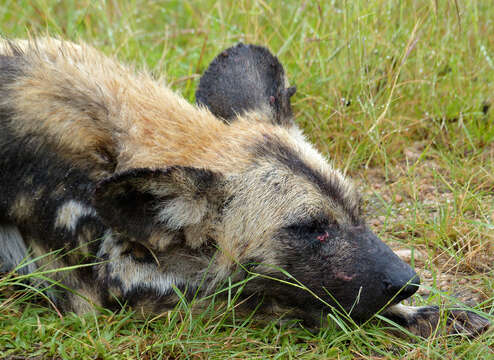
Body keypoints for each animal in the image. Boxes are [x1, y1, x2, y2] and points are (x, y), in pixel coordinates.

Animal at [0, 38, 486, 336]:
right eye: (311, 230)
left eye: (359, 211)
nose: (407, 283)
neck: (117, 142)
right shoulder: (105, 291)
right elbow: (294, 301)